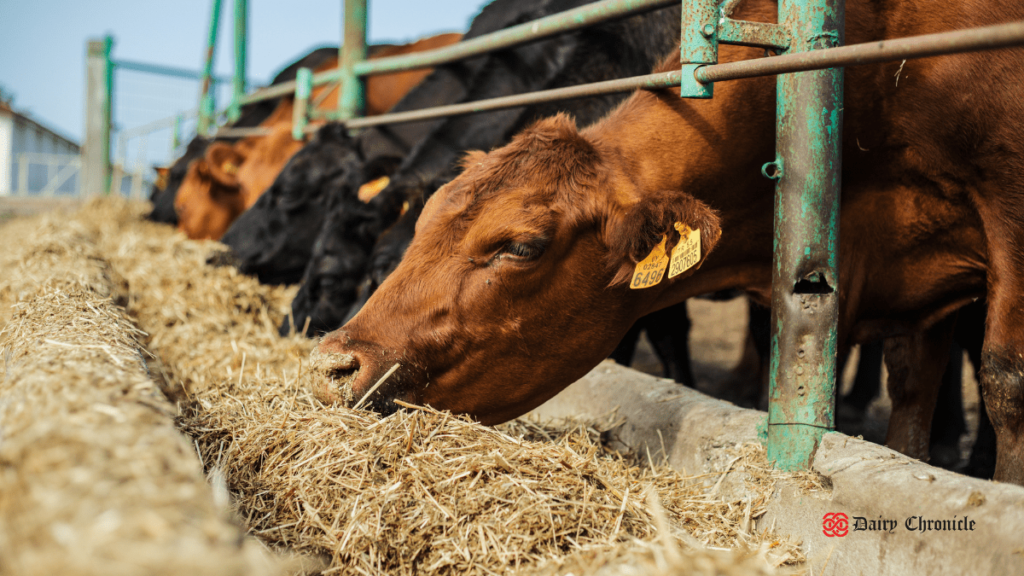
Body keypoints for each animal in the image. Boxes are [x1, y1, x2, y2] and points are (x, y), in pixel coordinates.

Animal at [315, 0, 1024, 481]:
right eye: (423, 223)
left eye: (520, 246)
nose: (332, 365)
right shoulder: (915, 283)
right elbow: (911, 397)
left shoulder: (1005, 194)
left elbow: (1004, 379)